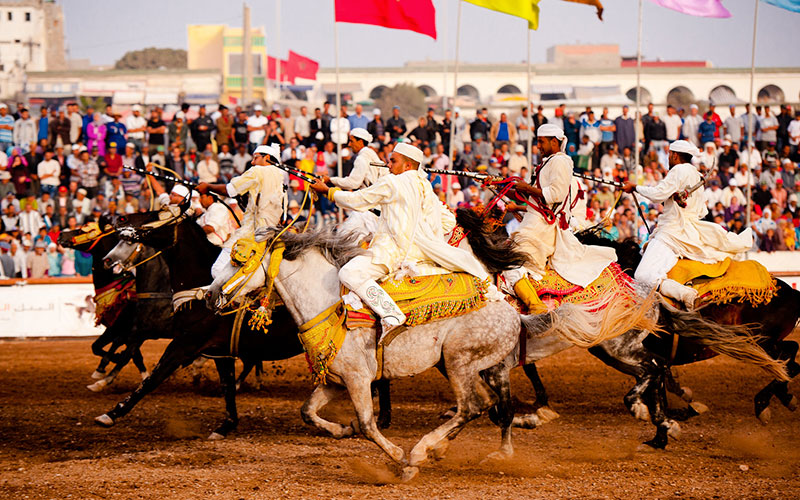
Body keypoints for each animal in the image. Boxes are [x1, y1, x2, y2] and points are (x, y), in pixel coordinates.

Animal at [98, 206, 392, 438]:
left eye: (156, 214)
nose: (120, 219)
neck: (198, 286)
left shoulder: (184, 344)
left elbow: (152, 378)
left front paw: (111, 412)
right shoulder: (219, 351)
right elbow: (227, 386)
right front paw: (226, 425)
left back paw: (382, 418)